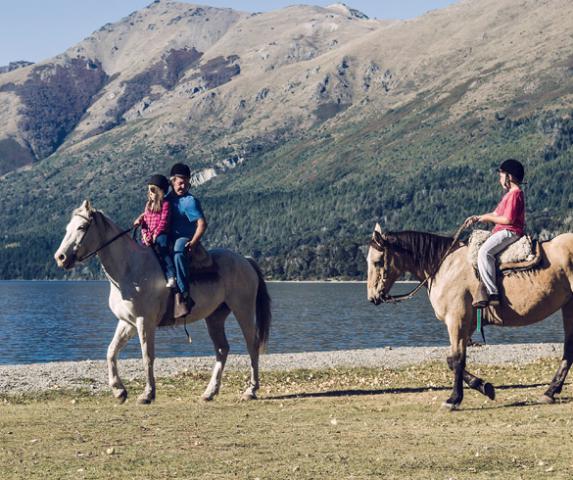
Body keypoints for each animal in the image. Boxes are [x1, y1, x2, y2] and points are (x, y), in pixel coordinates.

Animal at [53, 201, 270, 404]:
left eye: (82, 227)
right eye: (67, 228)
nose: (60, 257)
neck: (129, 269)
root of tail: (245, 260)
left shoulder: (144, 322)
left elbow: (147, 356)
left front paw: (147, 394)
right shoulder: (127, 322)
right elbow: (111, 352)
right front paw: (119, 391)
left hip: (243, 310)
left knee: (252, 346)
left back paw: (250, 391)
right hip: (215, 317)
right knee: (222, 350)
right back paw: (209, 392)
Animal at [366, 224, 572, 408]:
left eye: (378, 261)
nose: (372, 297)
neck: (444, 267)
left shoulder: (456, 321)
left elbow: (457, 360)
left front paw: (454, 399)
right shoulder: (468, 325)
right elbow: (452, 360)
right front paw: (484, 386)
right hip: (568, 306)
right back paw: (550, 392)